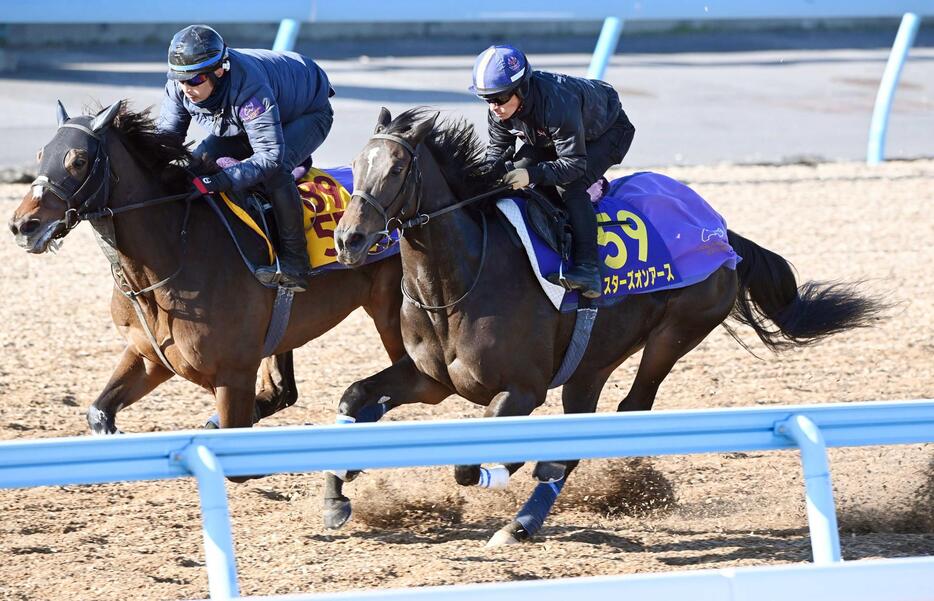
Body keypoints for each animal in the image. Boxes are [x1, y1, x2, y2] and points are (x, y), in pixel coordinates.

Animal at [7, 101, 404, 434]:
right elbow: (99, 412)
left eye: (78, 161)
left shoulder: (232, 374)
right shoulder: (150, 356)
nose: (23, 224)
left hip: (390, 312)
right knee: (284, 391)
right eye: (42, 153)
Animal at [326, 108, 888, 544]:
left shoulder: (521, 390)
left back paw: (521, 514)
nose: (349, 239)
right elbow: (356, 396)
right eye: (354, 166)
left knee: (627, 409)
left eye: (398, 168)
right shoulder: (433, 379)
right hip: (590, 364)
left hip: (675, 332)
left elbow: (470, 464)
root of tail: (720, 230)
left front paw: (504, 465)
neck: (457, 280)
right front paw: (338, 491)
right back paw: (525, 516)